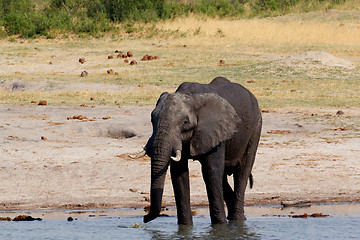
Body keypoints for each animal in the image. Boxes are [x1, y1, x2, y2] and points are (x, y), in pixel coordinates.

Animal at [132, 77, 262, 225]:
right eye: (152, 120)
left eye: (185, 123)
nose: (144, 218)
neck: (190, 96)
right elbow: (179, 174)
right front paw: (185, 227)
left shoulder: (215, 131)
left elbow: (211, 172)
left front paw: (219, 226)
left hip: (256, 126)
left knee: (242, 172)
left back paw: (237, 220)